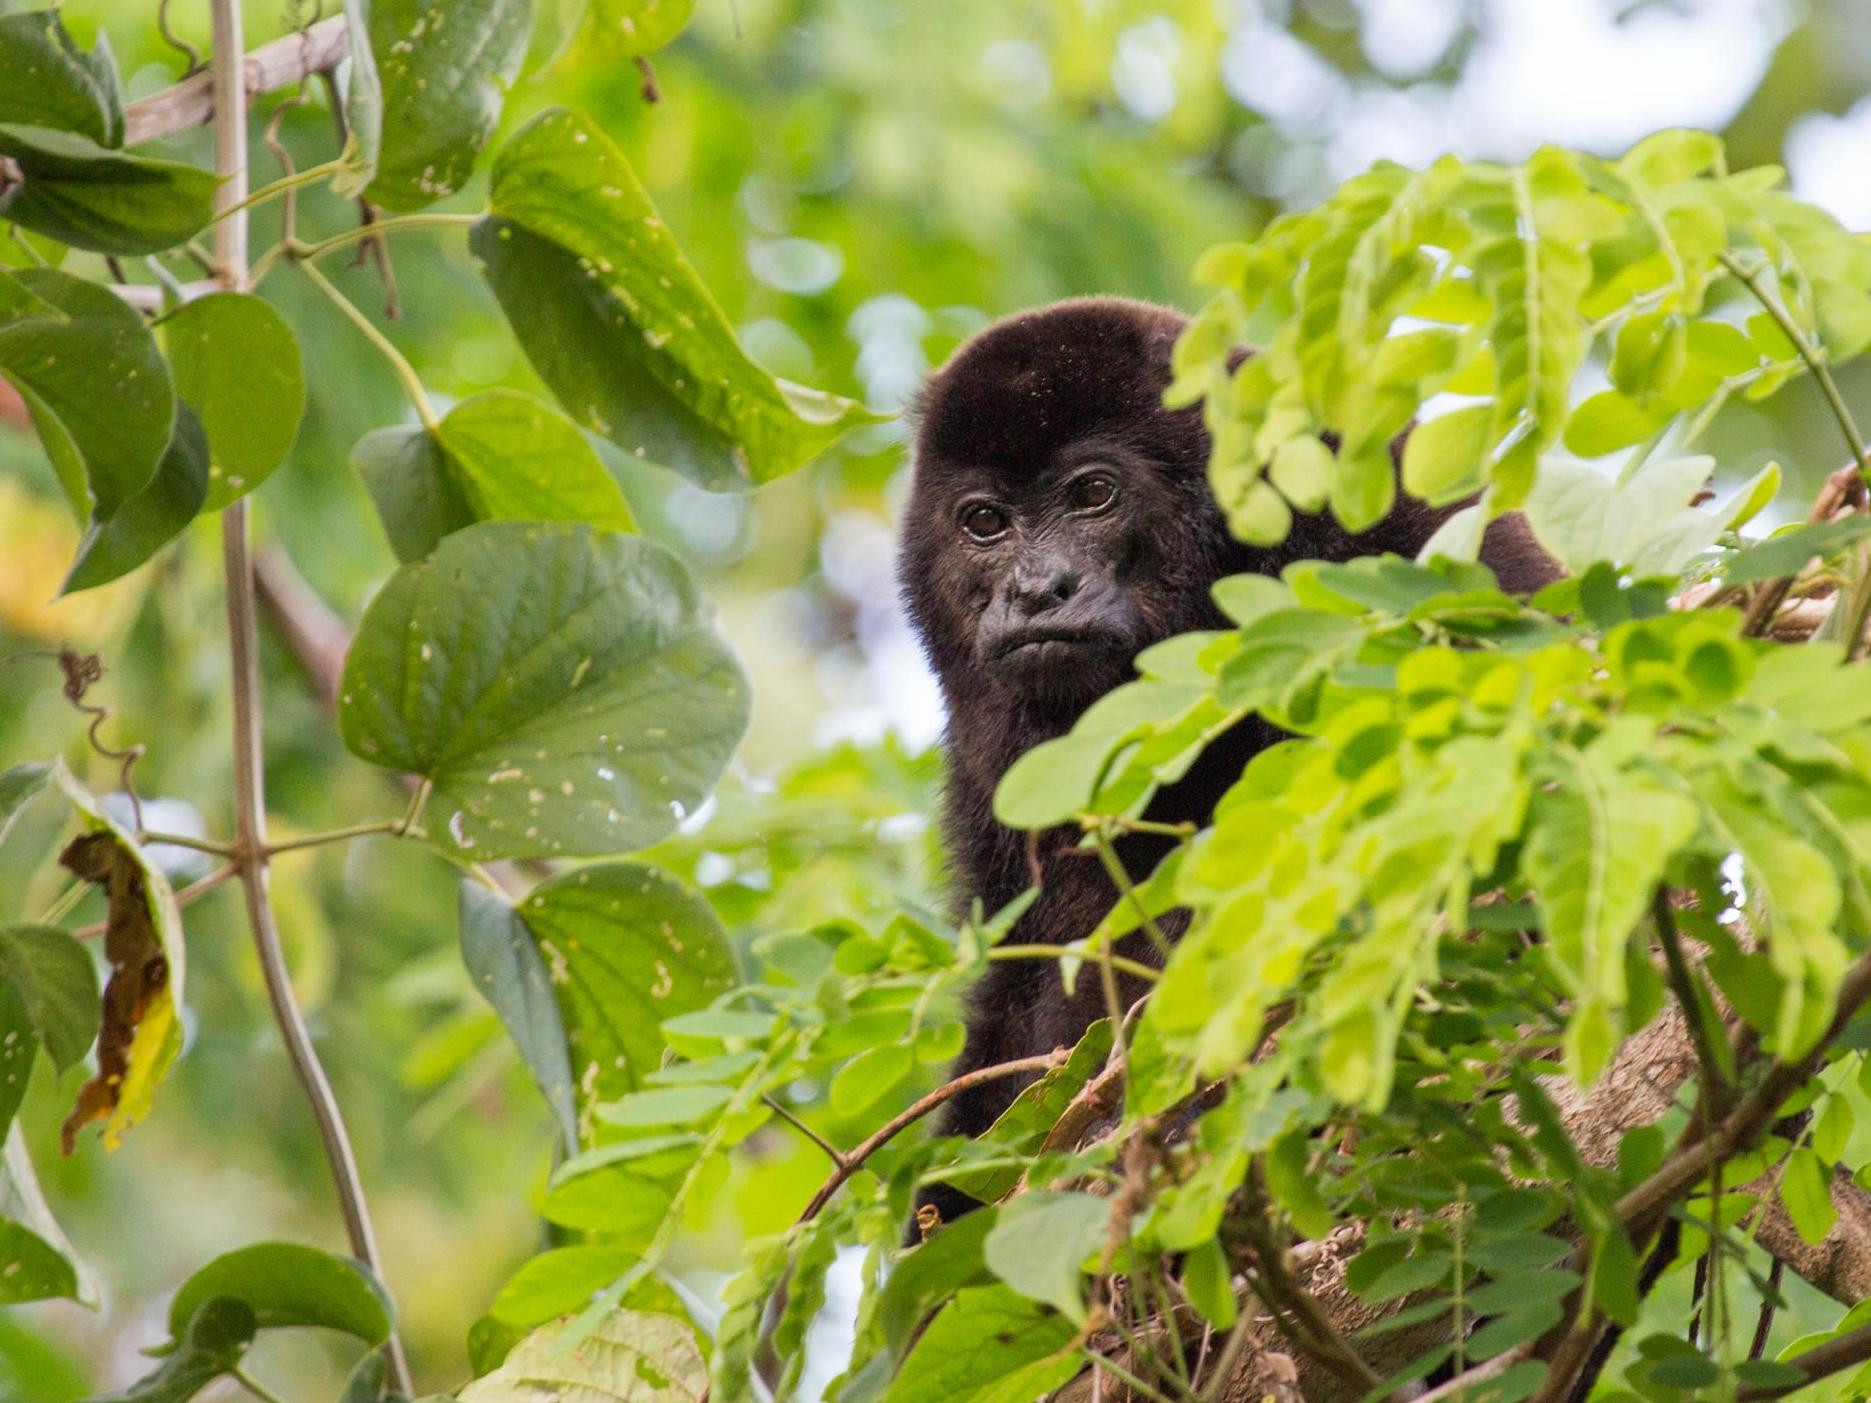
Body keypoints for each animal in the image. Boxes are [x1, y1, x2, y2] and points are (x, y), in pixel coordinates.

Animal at [898, 299, 1556, 1227]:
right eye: (984, 520)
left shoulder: (1401, 527)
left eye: (1092, 494)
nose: (1035, 590)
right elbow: (1014, 988)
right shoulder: (979, 775)